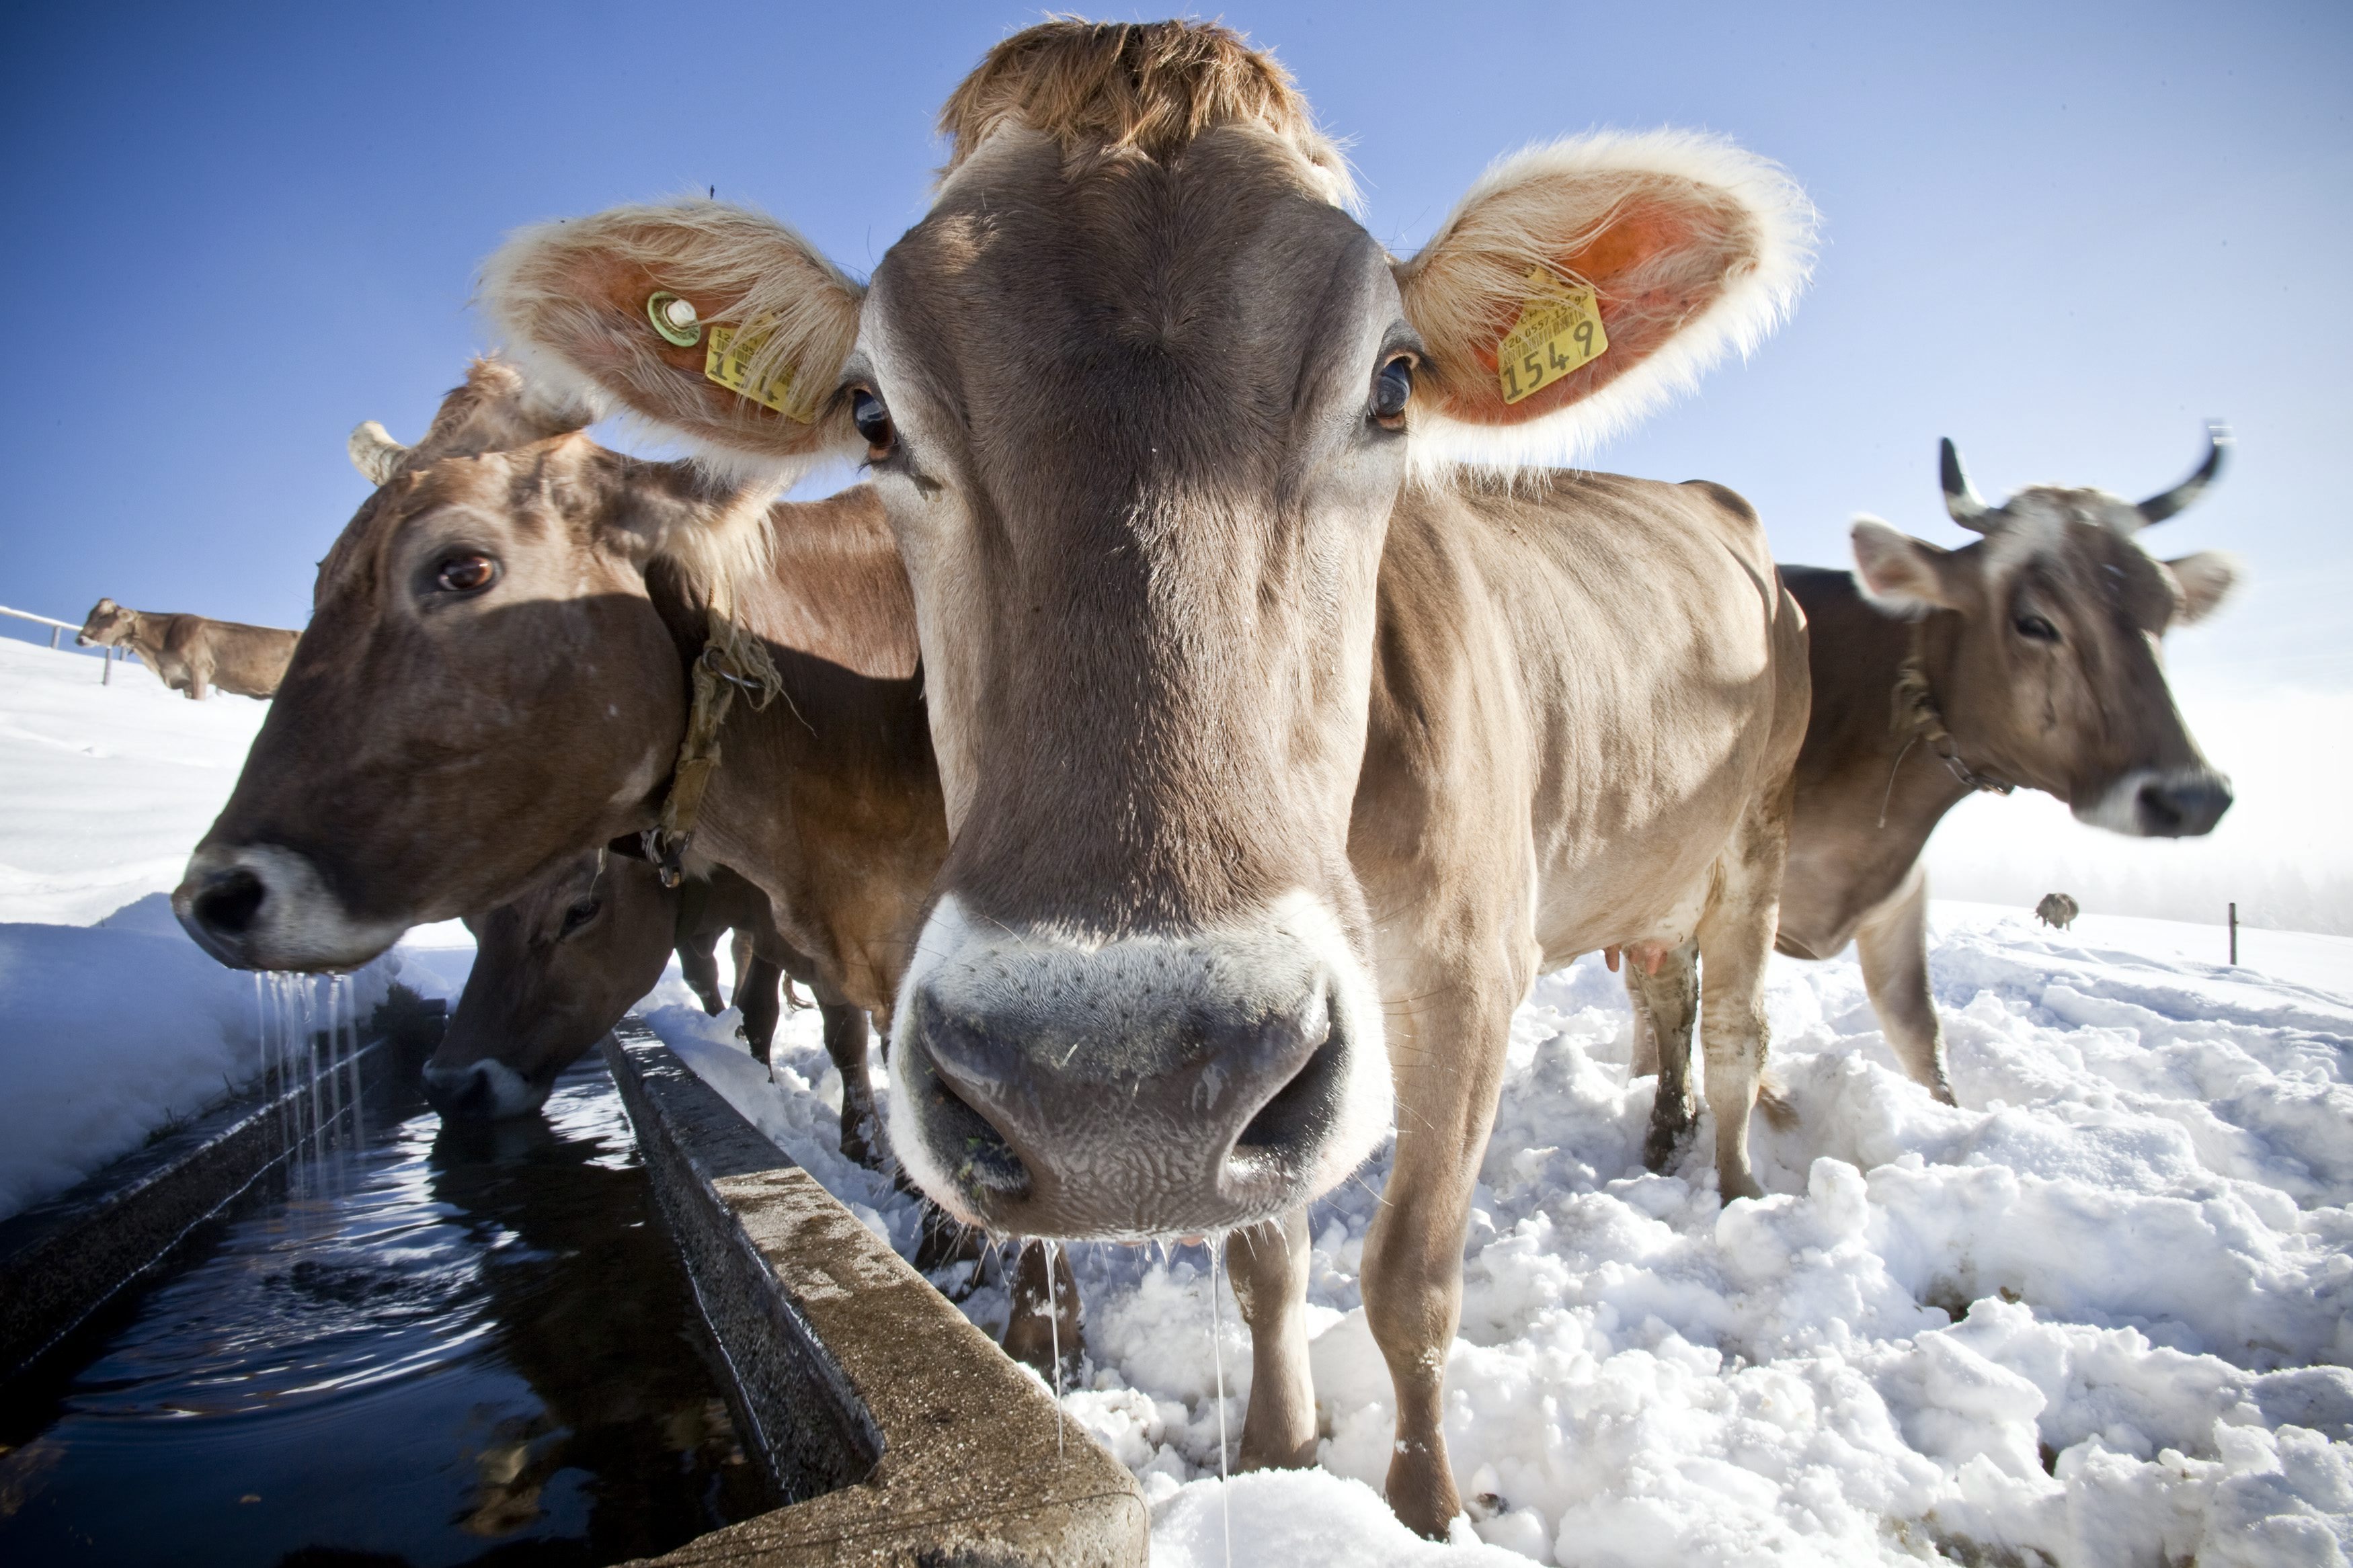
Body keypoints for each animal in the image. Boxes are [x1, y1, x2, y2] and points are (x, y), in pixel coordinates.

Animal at [428, 847, 882, 1164]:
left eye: (581, 910)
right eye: (470, 922)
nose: (451, 1089)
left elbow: (844, 1034)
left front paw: (867, 1148)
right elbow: (754, 1008)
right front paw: (756, 1076)